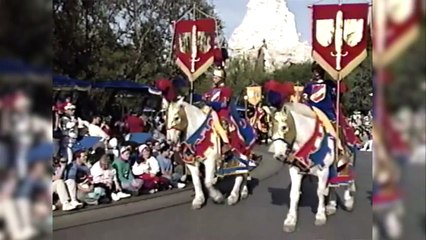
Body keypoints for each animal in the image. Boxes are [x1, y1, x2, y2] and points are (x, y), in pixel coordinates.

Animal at [270, 102, 356, 232]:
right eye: (271, 128)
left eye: (284, 127)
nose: (279, 155)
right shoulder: (295, 171)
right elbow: (294, 194)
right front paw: (290, 220)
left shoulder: (323, 171)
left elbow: (320, 192)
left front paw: (320, 216)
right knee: (333, 184)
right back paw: (331, 206)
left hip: (342, 162)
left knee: (346, 180)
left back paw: (348, 201)